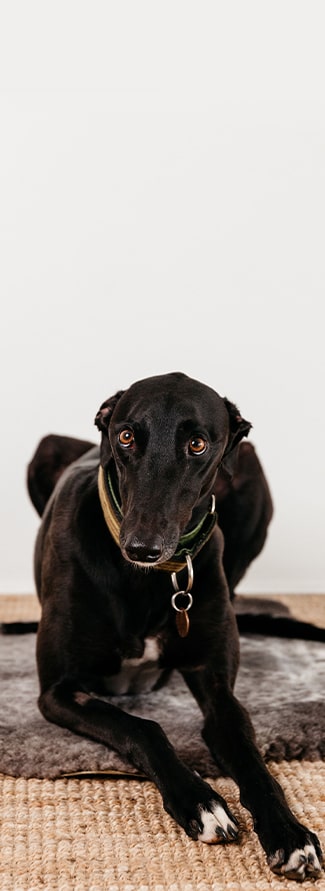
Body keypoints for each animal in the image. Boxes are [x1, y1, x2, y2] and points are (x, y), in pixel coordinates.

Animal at [27, 372, 322, 880]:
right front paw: (202, 802)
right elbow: (143, 726)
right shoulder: (59, 691)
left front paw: (290, 833)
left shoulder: (217, 687)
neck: (151, 580)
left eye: (198, 444)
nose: (142, 547)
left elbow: (251, 755)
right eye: (126, 436)